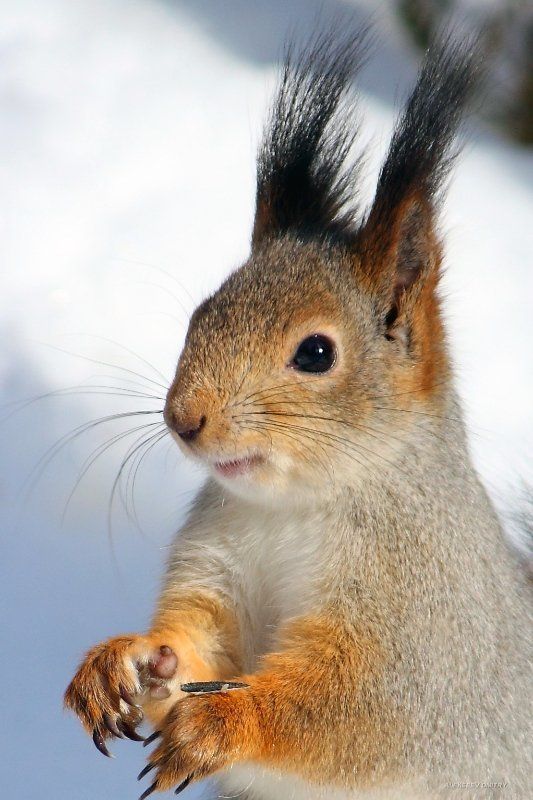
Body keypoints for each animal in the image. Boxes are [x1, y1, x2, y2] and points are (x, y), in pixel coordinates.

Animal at [65, 30, 532, 800]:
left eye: (315, 353)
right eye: (202, 313)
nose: (182, 418)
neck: (291, 509)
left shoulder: (421, 633)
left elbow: (347, 710)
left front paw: (221, 724)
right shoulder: (216, 566)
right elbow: (196, 642)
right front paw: (125, 662)